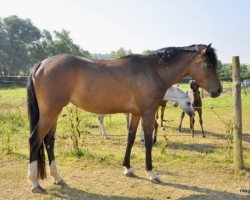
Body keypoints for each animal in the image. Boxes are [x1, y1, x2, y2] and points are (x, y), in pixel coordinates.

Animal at [27, 43, 223, 192]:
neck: (154, 71)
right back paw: (35, 183)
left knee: (49, 140)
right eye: (208, 66)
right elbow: (148, 141)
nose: (218, 90)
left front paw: (128, 168)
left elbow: (130, 138)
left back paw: (57, 177)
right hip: (50, 113)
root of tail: (41, 64)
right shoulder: (148, 112)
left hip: (54, 113)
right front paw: (152, 173)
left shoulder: (136, 114)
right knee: (35, 139)